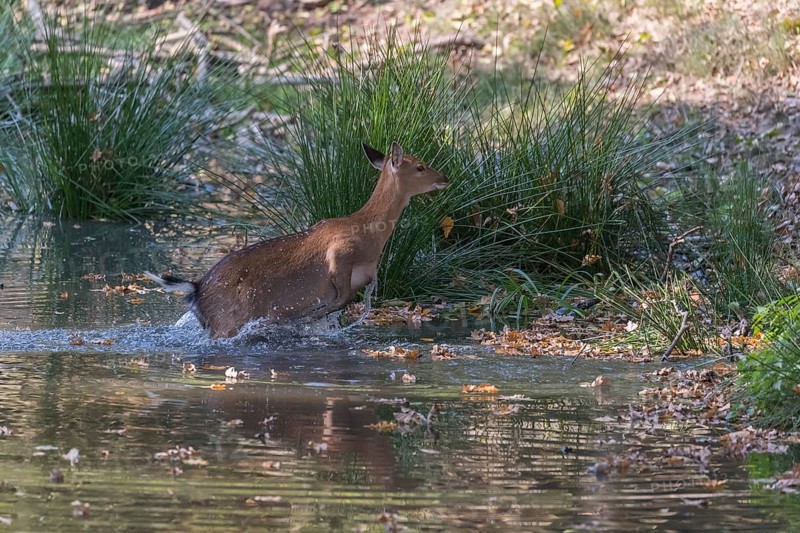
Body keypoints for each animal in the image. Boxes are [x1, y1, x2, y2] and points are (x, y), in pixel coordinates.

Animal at [146, 141, 448, 338]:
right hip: (227, 319)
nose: (444, 177)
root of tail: (195, 288)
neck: (370, 236)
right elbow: (337, 301)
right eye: (420, 167)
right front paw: (297, 320)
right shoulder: (339, 255)